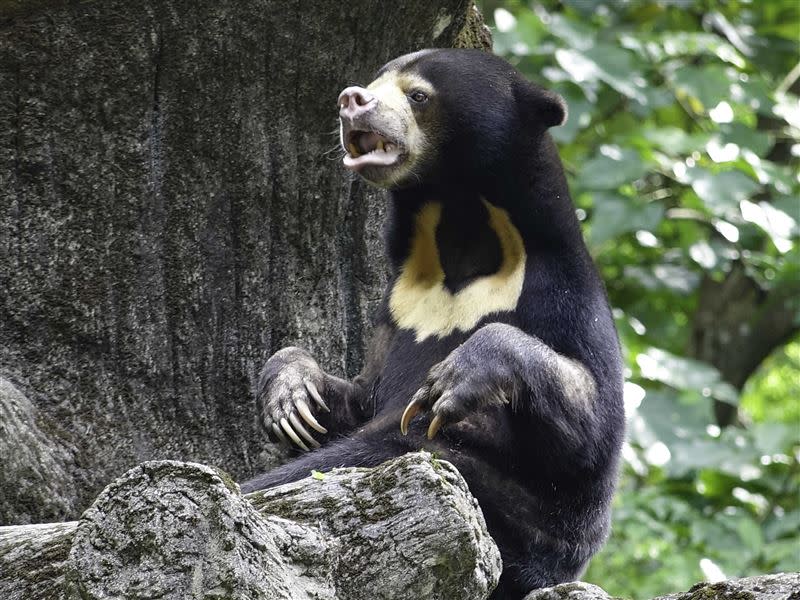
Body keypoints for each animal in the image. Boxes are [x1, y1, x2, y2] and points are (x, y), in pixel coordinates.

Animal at [241, 48, 628, 600]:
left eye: (418, 94)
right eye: (375, 81)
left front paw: (449, 381)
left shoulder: (564, 295)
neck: (459, 227)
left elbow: (591, 432)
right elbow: (362, 393)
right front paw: (291, 398)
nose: (350, 100)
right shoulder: (399, 305)